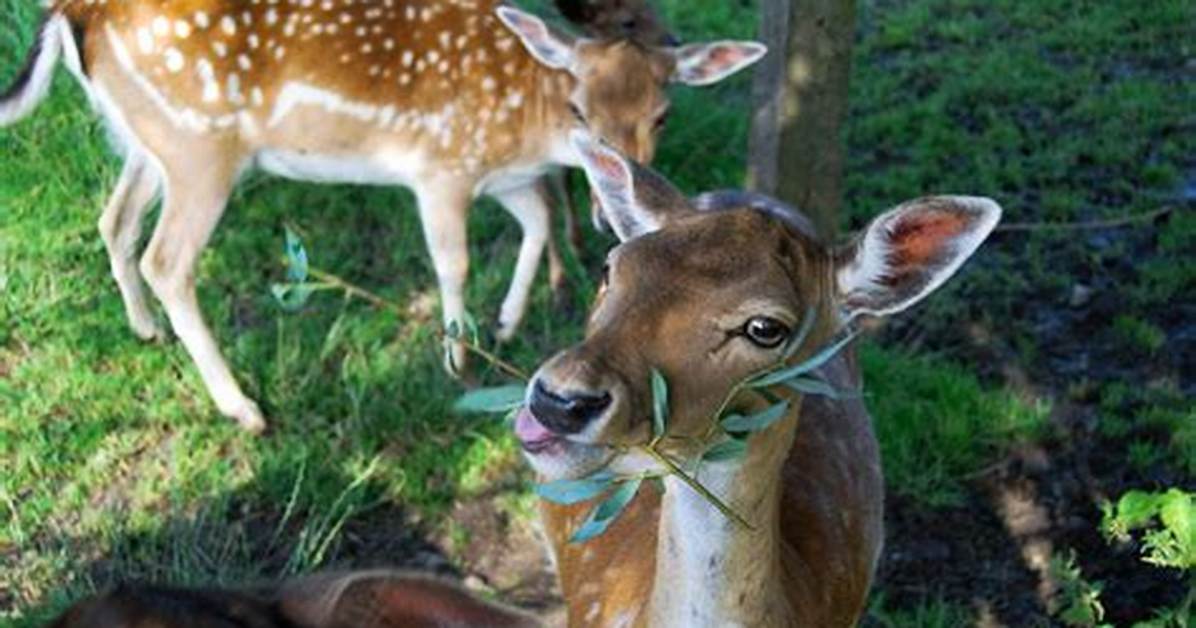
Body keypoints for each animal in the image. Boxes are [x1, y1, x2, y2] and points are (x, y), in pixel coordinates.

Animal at [0, 1, 765, 432]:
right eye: (580, 109)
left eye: (662, 114)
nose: (615, 216)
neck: (525, 126)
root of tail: (75, 13)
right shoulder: (441, 168)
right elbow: (454, 262)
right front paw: (458, 359)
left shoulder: (505, 179)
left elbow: (537, 222)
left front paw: (505, 322)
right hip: (199, 149)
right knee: (167, 260)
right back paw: (242, 408)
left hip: (145, 140)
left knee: (114, 219)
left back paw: (144, 329)